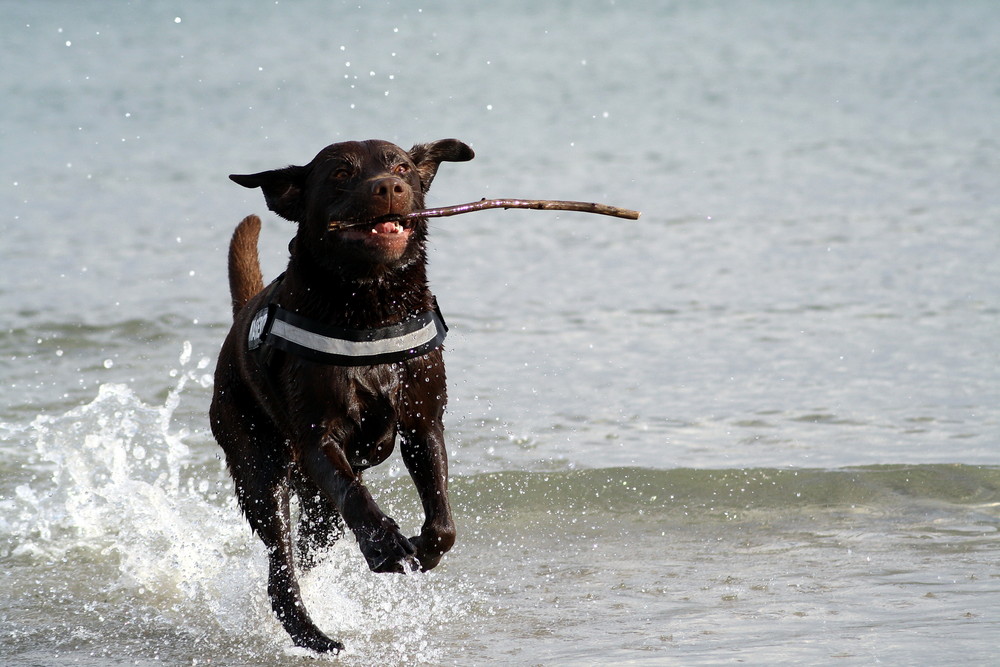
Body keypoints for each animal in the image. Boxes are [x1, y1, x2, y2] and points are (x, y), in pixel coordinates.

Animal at [209, 137, 474, 652]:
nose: (388, 187)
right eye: (339, 174)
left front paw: (423, 548)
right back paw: (312, 634)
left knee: (309, 548)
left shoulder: (423, 421)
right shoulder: (318, 437)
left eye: (402, 167)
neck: (370, 308)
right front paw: (384, 545)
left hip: (316, 507)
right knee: (281, 565)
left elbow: (443, 521)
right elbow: (354, 492)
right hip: (258, 467)